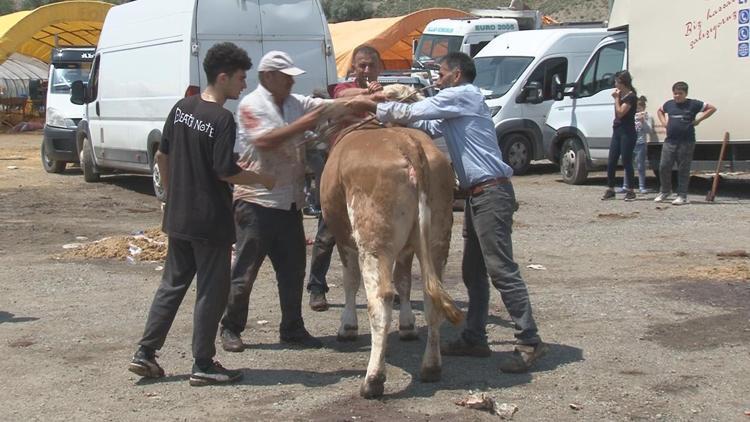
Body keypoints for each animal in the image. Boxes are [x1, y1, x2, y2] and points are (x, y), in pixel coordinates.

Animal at [322, 120, 464, 398]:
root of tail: (407, 143)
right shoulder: (408, 249)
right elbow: (405, 282)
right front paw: (408, 325)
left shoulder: (344, 240)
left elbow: (350, 281)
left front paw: (348, 326)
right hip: (436, 239)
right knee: (432, 298)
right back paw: (431, 366)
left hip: (373, 243)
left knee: (380, 301)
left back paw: (373, 380)